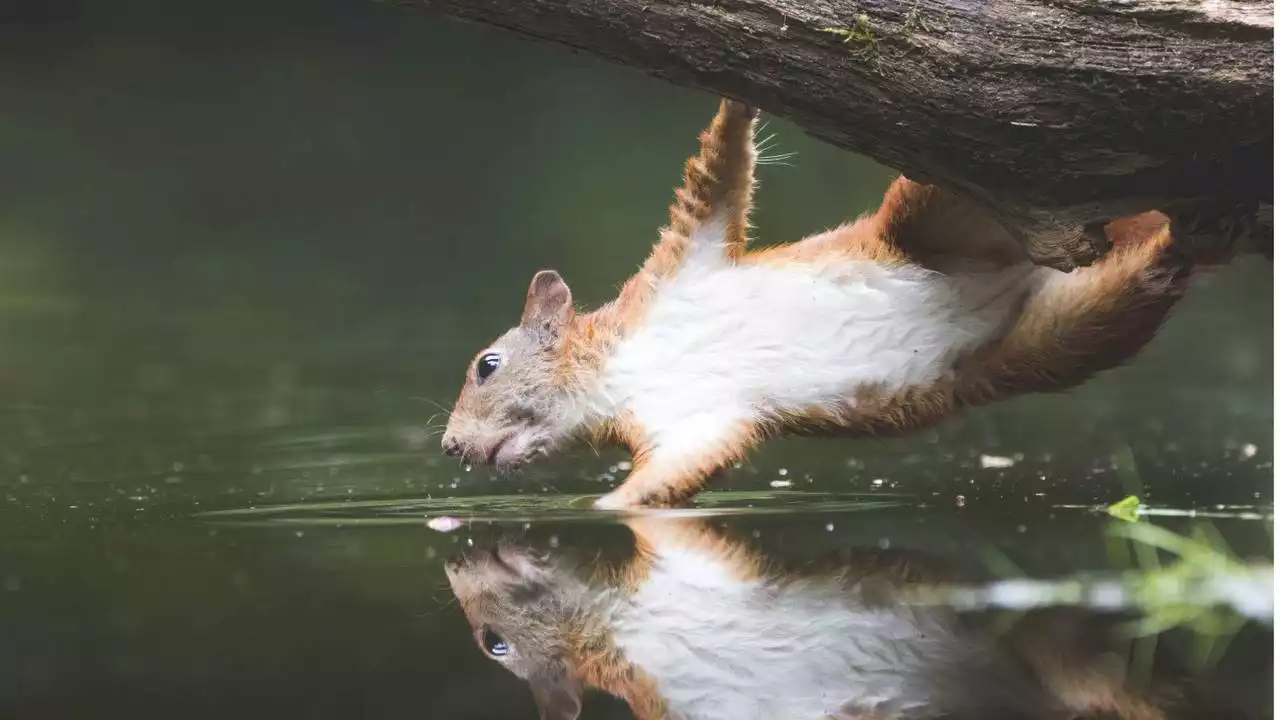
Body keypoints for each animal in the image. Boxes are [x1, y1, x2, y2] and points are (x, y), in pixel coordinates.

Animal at [440, 98, 1187, 507]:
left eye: (486, 365)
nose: (448, 446)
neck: (620, 371)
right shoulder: (692, 423)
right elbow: (668, 479)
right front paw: (605, 505)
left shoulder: (681, 262)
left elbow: (717, 174)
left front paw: (737, 95)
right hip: (1061, 330)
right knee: (1143, 281)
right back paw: (1186, 239)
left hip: (928, 213)